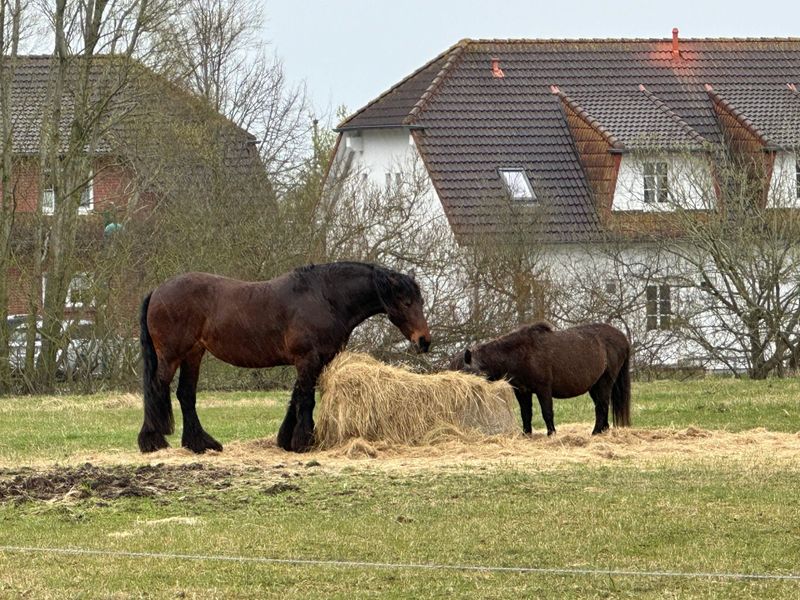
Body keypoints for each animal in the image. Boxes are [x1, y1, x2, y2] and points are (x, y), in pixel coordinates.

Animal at [141, 260, 434, 452]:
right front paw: (304, 442)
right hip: (172, 355)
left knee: (185, 395)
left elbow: (296, 397)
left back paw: (200, 444)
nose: (424, 341)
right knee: (157, 388)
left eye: (420, 301)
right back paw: (153, 441)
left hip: (194, 353)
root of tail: (157, 291)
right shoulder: (307, 359)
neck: (323, 297)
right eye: (406, 302)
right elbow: (306, 400)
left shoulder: (316, 360)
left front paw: (286, 440)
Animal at [456, 324, 632, 436]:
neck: (520, 354)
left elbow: (547, 412)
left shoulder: (543, 389)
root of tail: (623, 338)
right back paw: (603, 430)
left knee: (602, 406)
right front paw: (526, 434)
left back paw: (595, 432)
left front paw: (551, 433)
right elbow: (526, 413)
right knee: (602, 406)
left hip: (604, 383)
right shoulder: (522, 391)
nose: (465, 398)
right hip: (594, 386)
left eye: (468, 373)